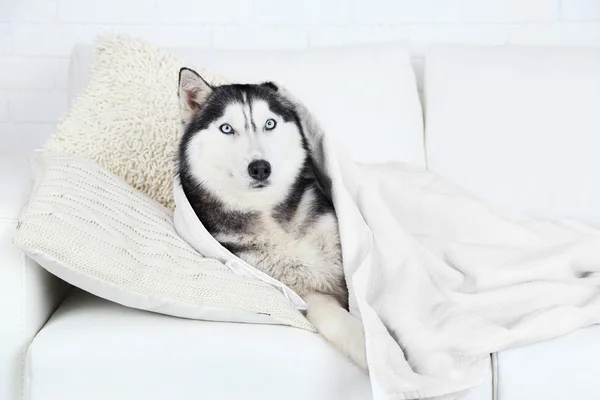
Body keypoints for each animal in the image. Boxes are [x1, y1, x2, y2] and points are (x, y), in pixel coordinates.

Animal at [176, 67, 368, 370]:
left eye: (270, 123)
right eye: (226, 128)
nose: (260, 168)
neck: (277, 224)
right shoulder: (306, 295)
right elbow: (339, 321)